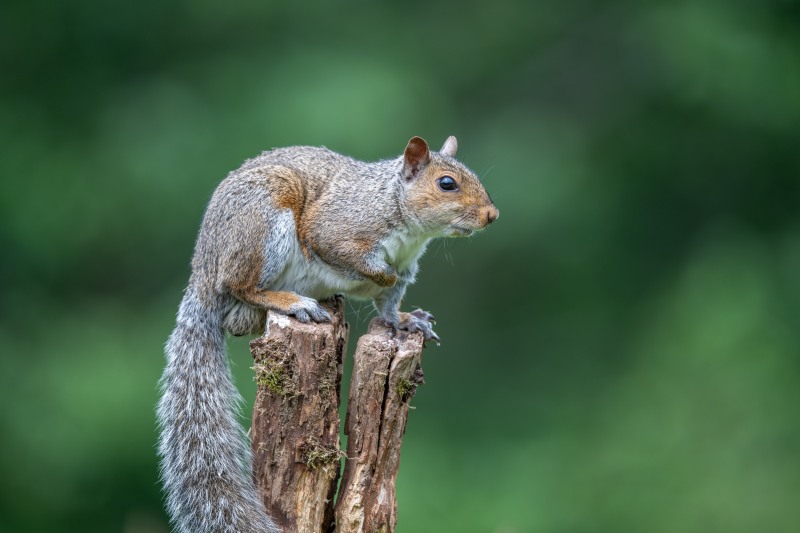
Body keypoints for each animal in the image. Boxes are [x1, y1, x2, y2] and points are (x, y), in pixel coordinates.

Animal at [157, 135, 498, 532]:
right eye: (447, 183)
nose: (492, 215)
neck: (394, 207)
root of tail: (203, 271)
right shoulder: (337, 230)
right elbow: (351, 259)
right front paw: (381, 276)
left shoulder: (407, 266)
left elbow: (388, 305)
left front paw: (407, 320)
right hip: (261, 226)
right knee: (241, 287)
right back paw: (292, 302)